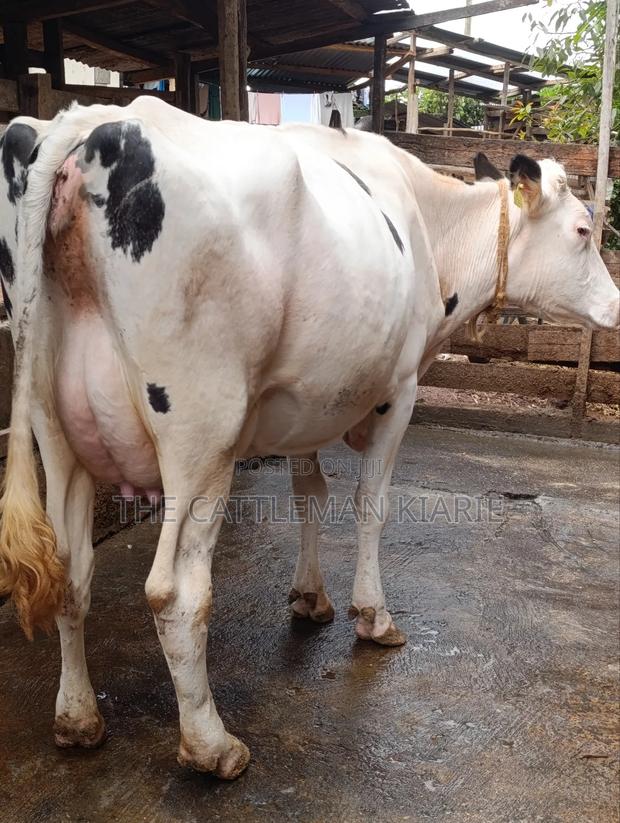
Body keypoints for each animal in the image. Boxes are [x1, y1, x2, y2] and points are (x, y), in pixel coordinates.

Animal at [0, 97, 617, 780]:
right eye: (582, 231)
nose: (616, 308)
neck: (430, 228)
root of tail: (86, 122)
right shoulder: (400, 390)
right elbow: (370, 504)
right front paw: (372, 615)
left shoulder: (305, 400)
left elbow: (309, 495)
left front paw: (308, 597)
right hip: (200, 437)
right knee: (175, 594)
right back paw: (211, 744)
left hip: (56, 428)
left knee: (70, 572)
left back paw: (77, 719)